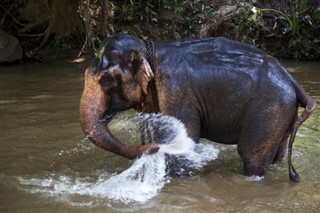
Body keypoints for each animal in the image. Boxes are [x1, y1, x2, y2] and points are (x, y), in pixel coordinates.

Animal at [79, 33, 316, 181]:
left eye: (105, 81)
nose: (151, 148)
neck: (149, 49)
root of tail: (291, 79)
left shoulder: (176, 92)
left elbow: (183, 143)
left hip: (269, 110)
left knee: (251, 155)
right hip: (282, 114)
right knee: (276, 154)